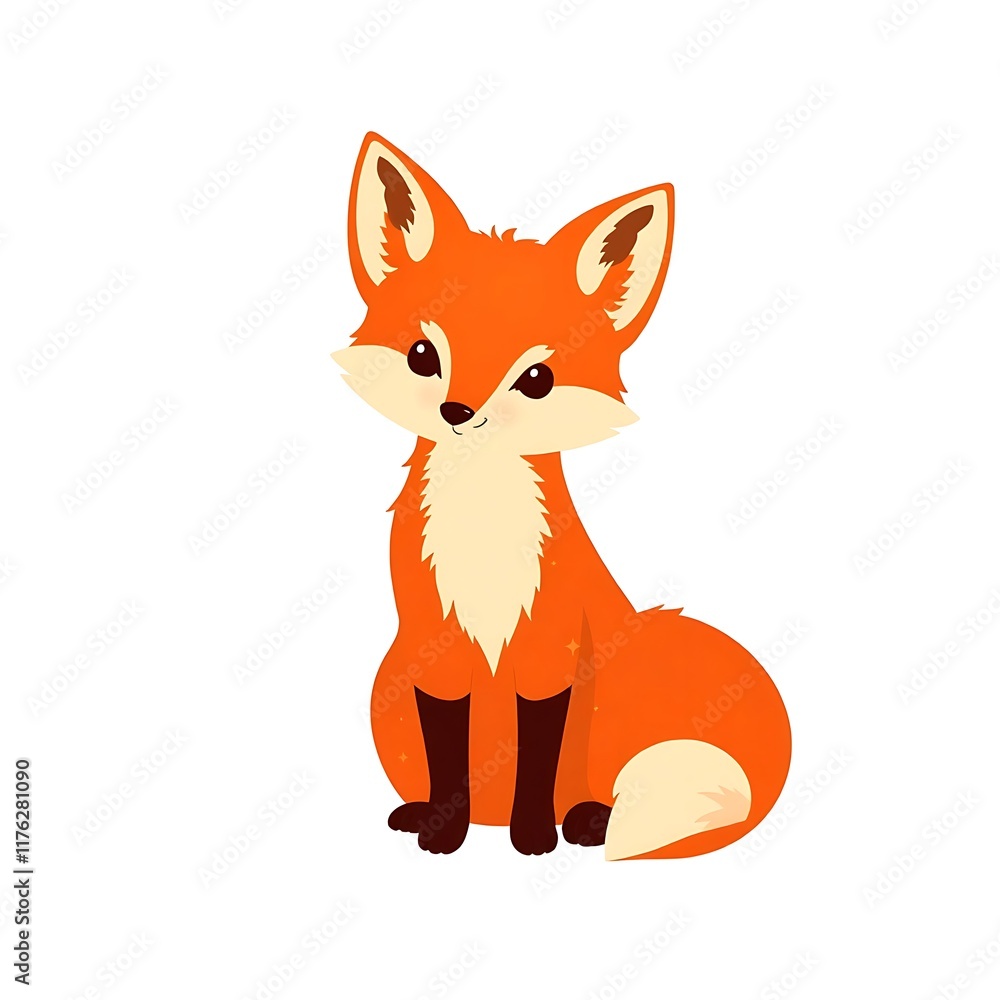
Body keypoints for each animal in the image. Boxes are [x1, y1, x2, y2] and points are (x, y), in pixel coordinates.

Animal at [334, 132, 791, 860]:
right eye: (422, 355)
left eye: (537, 379)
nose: (458, 412)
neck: (484, 536)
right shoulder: (434, 651)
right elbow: (448, 752)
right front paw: (444, 829)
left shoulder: (552, 652)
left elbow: (539, 755)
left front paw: (533, 836)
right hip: (389, 680)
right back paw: (428, 814)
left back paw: (585, 821)